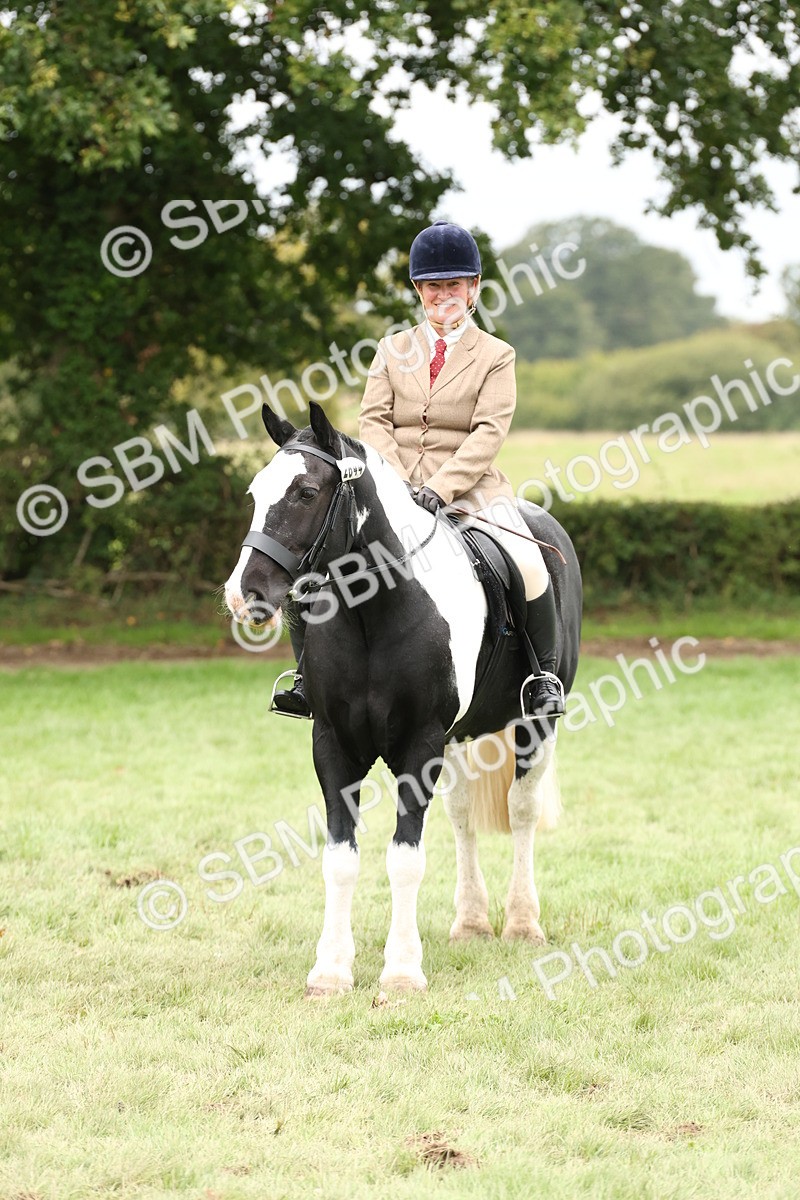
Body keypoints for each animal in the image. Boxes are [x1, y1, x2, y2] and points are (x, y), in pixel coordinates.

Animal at [224, 402, 582, 996]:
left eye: (305, 492)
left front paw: (401, 972)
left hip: (535, 724)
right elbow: (340, 858)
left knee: (522, 811)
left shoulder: (419, 744)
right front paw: (330, 971)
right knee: (462, 815)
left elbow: (405, 858)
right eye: (256, 493)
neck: (373, 612)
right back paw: (471, 923)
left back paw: (522, 923)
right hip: (460, 735)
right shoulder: (333, 745)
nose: (242, 595)